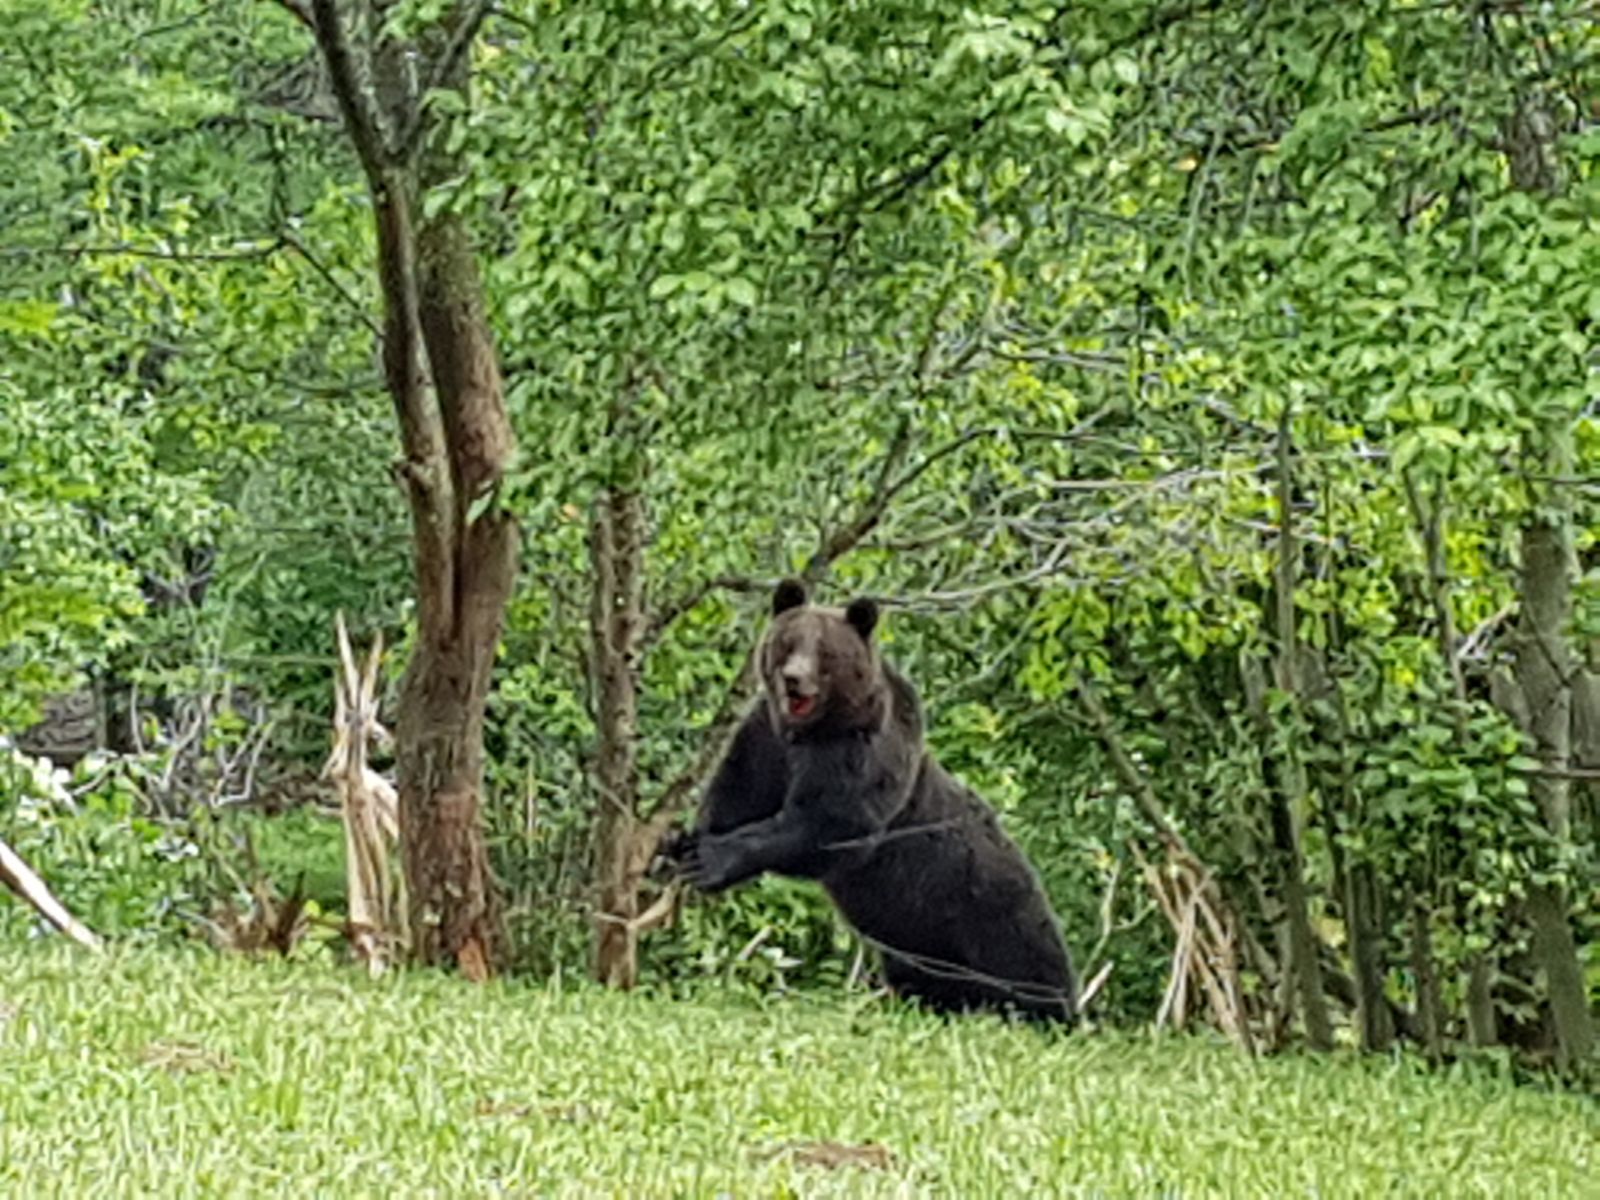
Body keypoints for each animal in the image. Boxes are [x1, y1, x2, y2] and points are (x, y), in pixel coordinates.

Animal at [668, 582, 1081, 1024]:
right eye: (787, 642)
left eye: (825, 651)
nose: (794, 680)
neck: (811, 731)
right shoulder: (767, 741)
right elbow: (737, 793)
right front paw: (681, 845)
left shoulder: (860, 752)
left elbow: (828, 825)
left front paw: (711, 859)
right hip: (922, 944)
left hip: (987, 905)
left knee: (1028, 964)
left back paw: (1052, 1010)